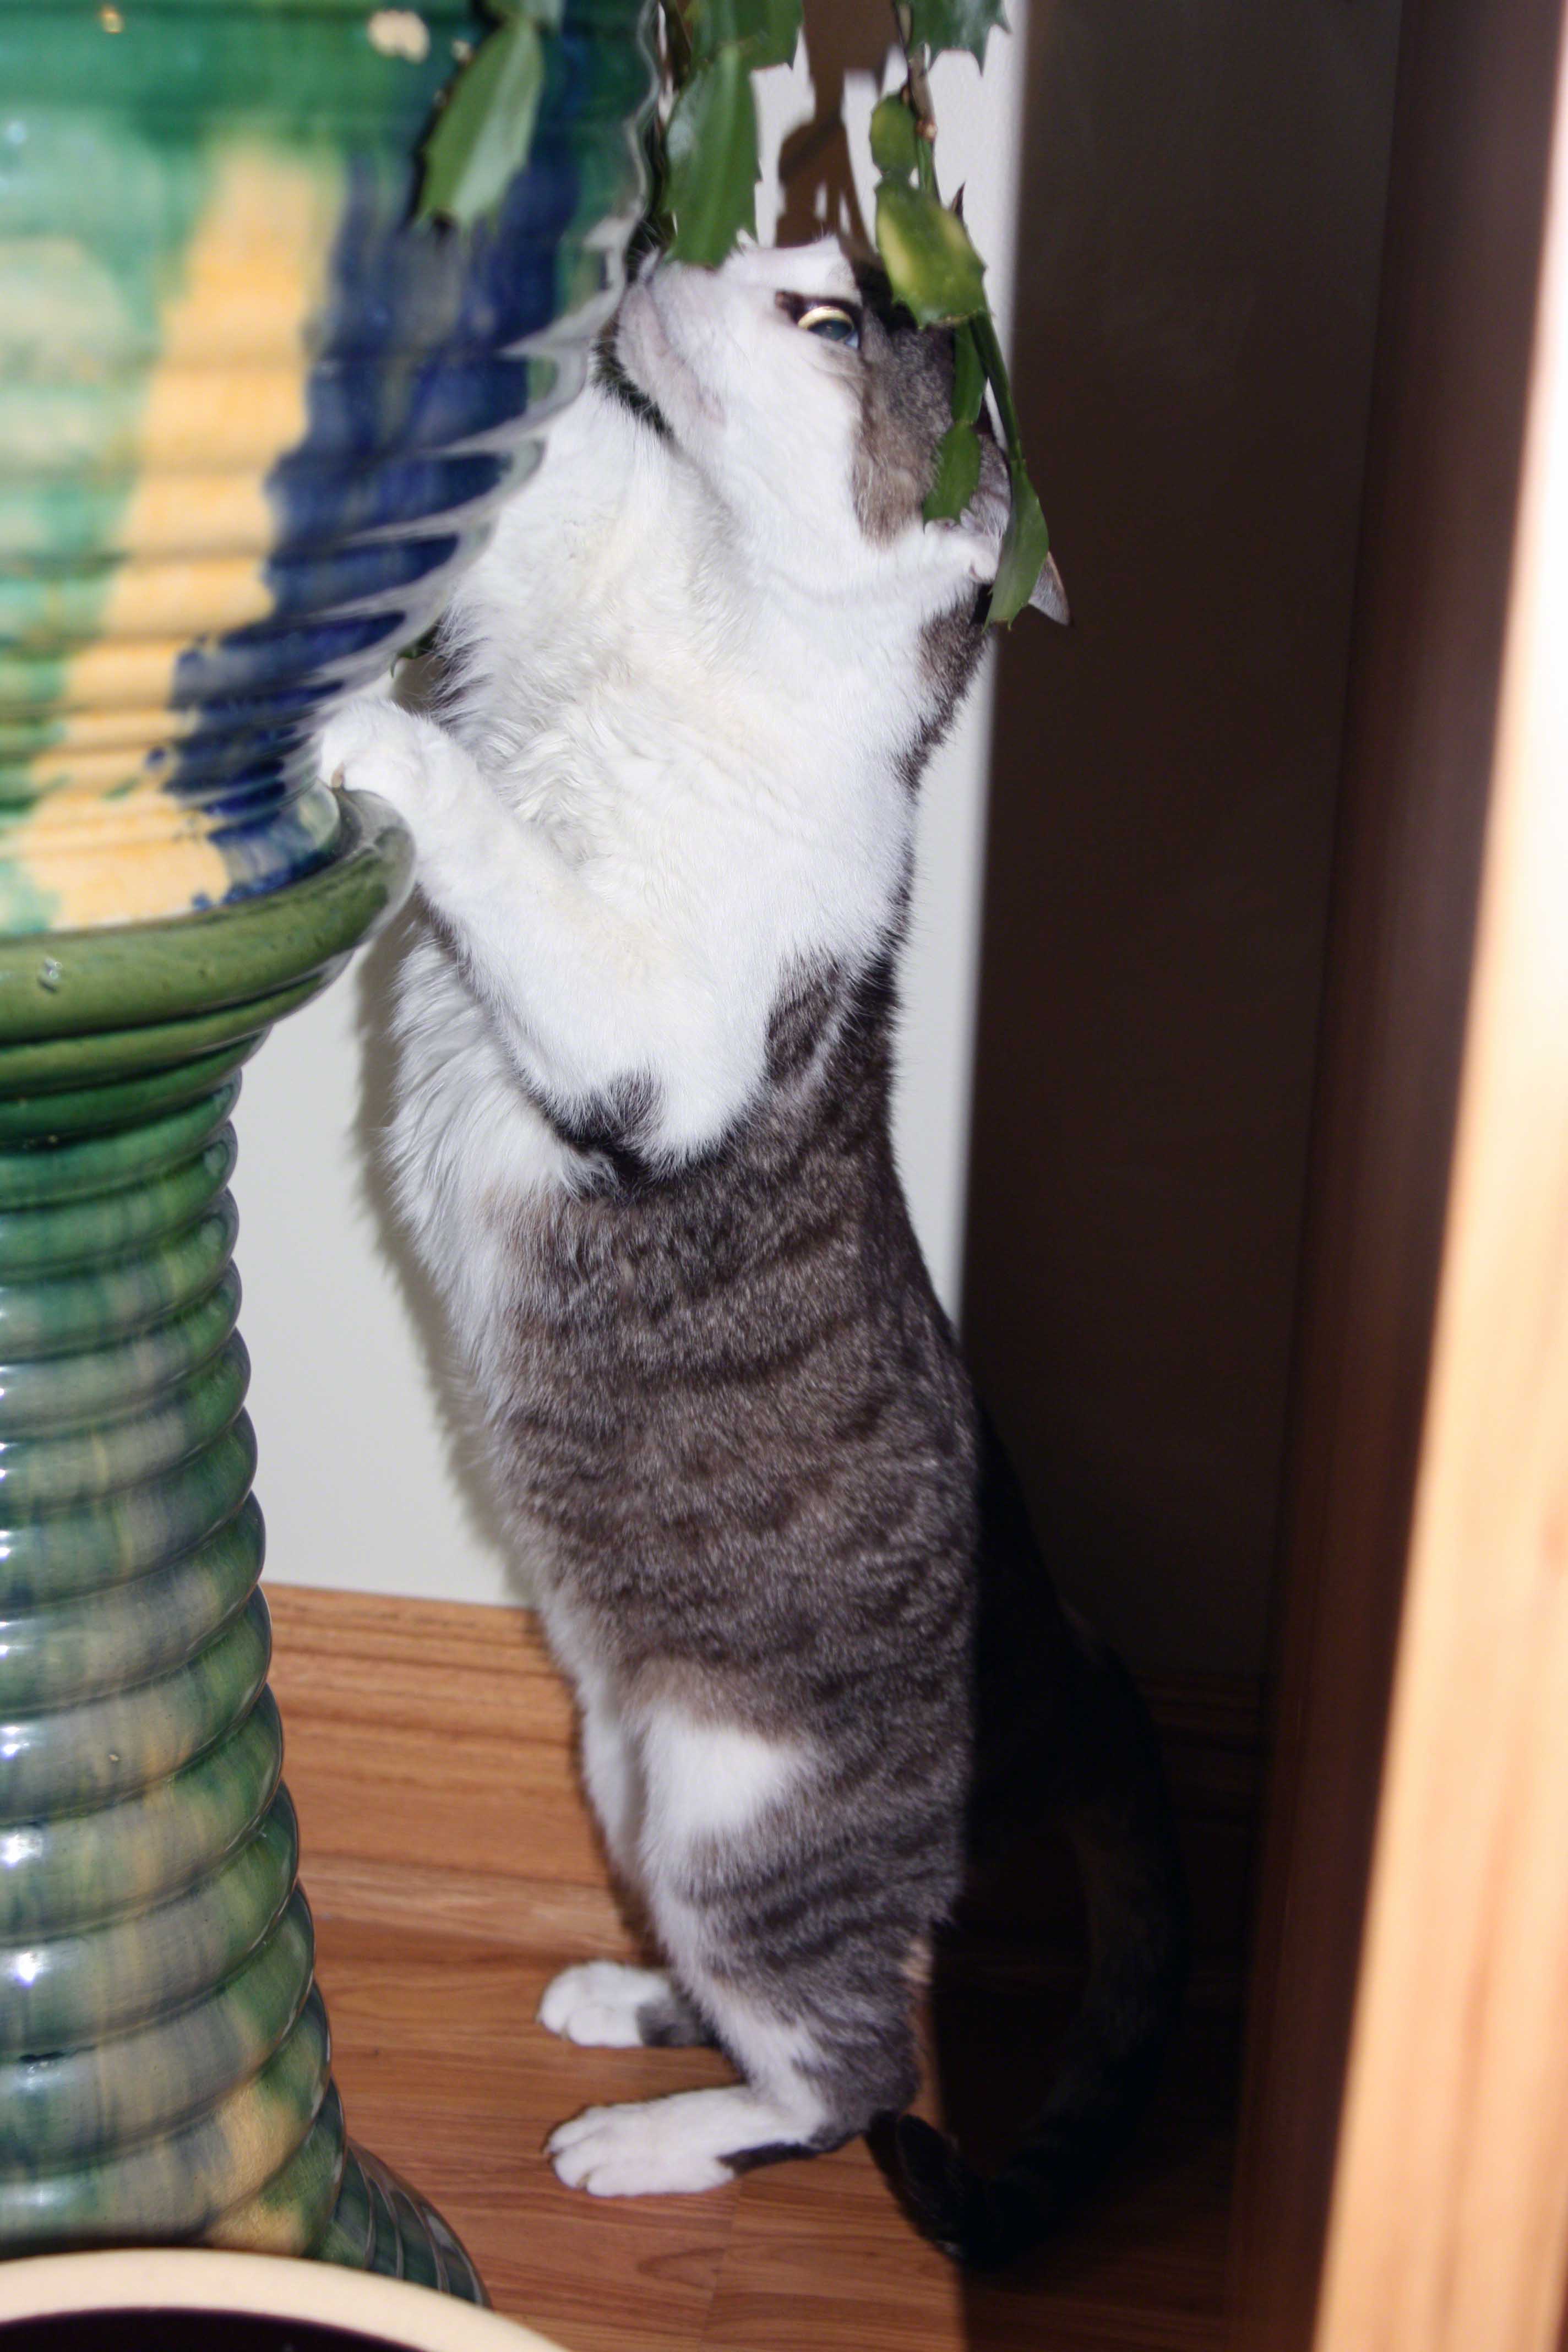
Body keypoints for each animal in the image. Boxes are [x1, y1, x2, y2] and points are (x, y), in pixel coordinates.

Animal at [322, 234, 1189, 2258]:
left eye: (827, 323)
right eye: (786, 259)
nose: (673, 248)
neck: (708, 627)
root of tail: (1074, 1657)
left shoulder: (661, 1044)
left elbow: (519, 870)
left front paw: (388, 745)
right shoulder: (568, 555)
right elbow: (531, 483)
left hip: (740, 1814)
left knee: (847, 2066)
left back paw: (647, 2141)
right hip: (626, 1768)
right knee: (784, 1993)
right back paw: (627, 1999)